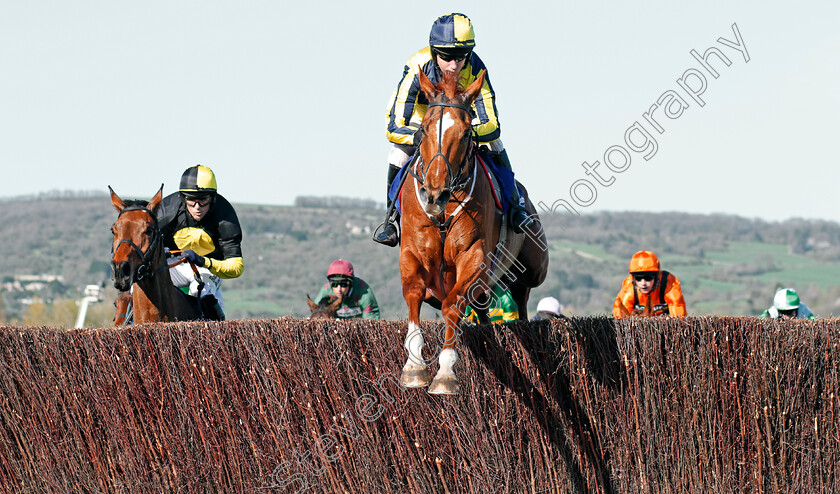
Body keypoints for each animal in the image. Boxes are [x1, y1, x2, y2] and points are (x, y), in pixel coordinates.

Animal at [400, 68, 552, 394]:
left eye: (466, 133)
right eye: (424, 130)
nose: (434, 194)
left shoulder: (474, 256)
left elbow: (452, 304)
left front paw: (445, 373)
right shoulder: (412, 252)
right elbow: (414, 292)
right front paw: (414, 366)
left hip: (534, 266)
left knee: (521, 293)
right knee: (480, 304)